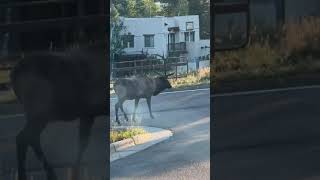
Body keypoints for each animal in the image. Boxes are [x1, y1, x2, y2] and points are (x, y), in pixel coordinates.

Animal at [10, 41, 107, 180]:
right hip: (39, 112)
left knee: (31, 138)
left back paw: (49, 173)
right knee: (23, 138)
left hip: (37, 115)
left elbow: (82, 143)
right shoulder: (90, 112)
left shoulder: (87, 114)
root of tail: (13, 75)